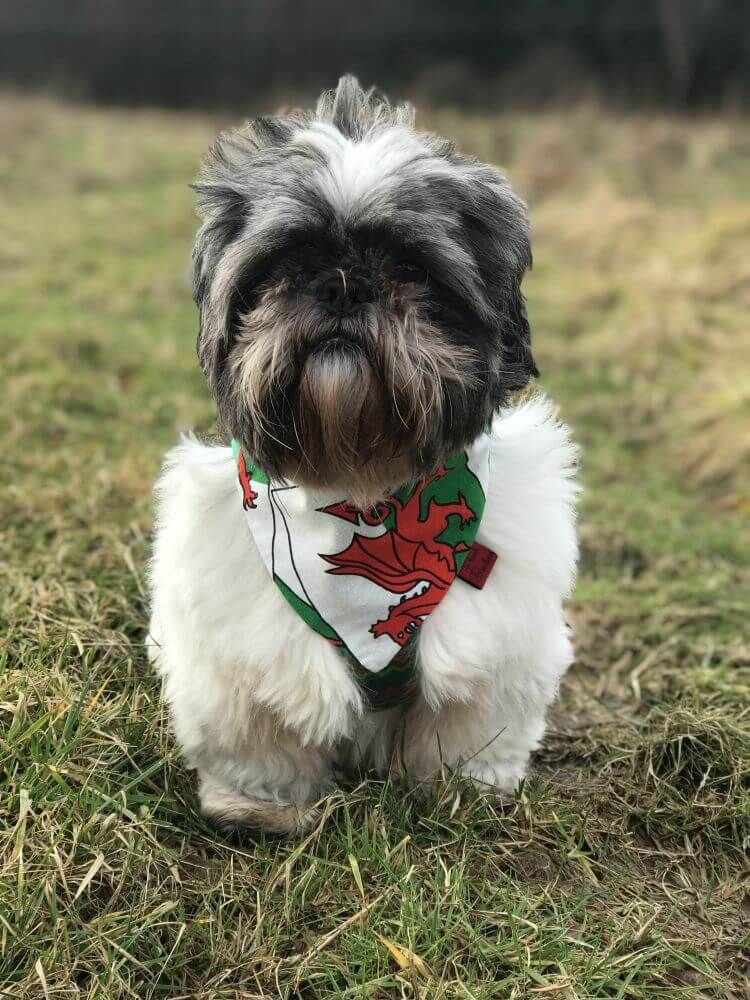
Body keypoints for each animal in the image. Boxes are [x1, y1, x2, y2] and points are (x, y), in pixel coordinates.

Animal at [148, 78, 580, 832]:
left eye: (411, 268)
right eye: (285, 265)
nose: (345, 284)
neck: (361, 477)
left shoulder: (493, 643)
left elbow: (466, 727)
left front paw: (459, 791)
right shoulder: (242, 648)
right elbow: (261, 736)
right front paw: (260, 807)